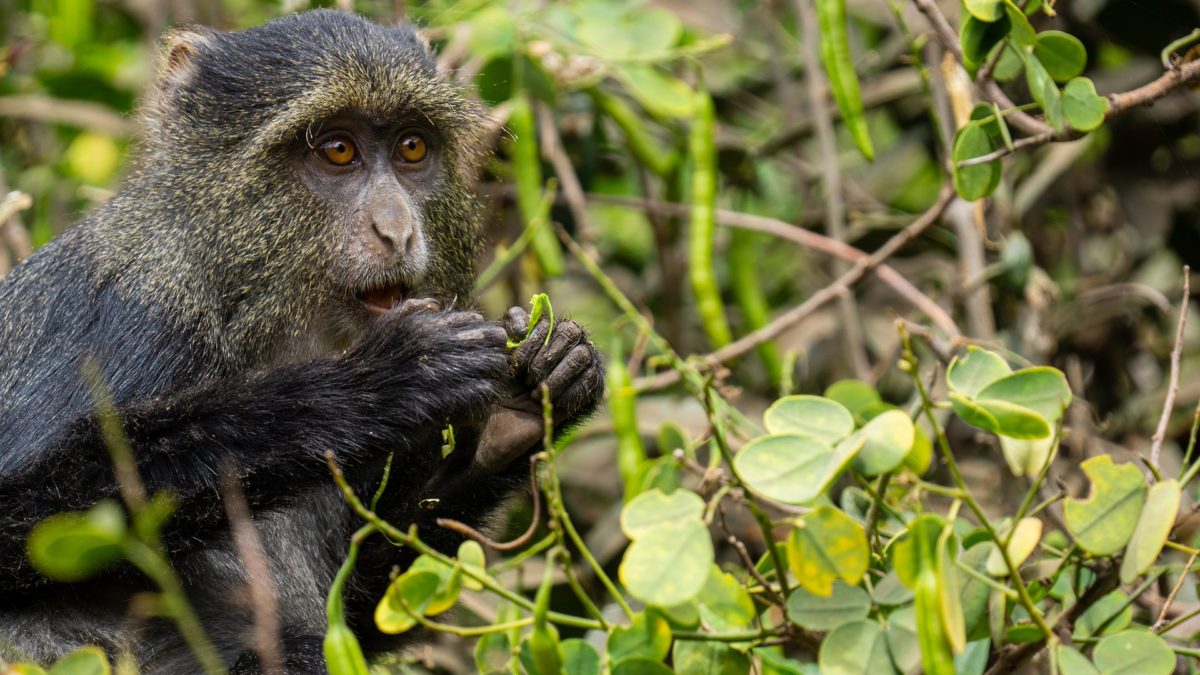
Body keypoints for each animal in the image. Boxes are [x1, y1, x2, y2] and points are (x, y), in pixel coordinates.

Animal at [0, 7, 600, 667]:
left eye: (411, 147)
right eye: (338, 150)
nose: (397, 231)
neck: (240, 286)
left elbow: (370, 616)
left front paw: (528, 400)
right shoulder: (137, 319)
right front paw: (381, 384)